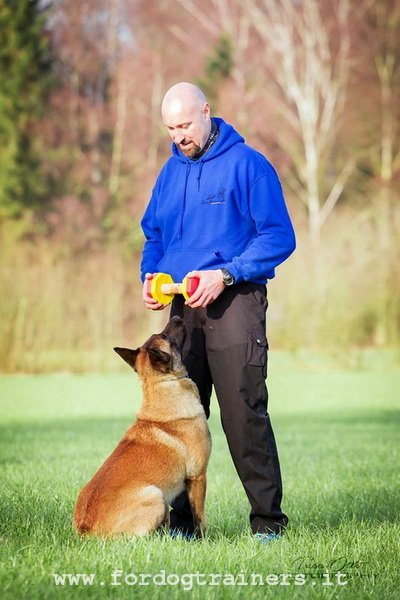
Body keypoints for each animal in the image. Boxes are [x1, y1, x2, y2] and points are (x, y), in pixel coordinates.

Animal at [73, 316, 211, 536]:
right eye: (165, 337)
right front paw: (205, 539)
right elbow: (200, 519)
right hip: (157, 495)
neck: (161, 387)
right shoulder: (198, 477)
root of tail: (85, 530)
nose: (176, 317)